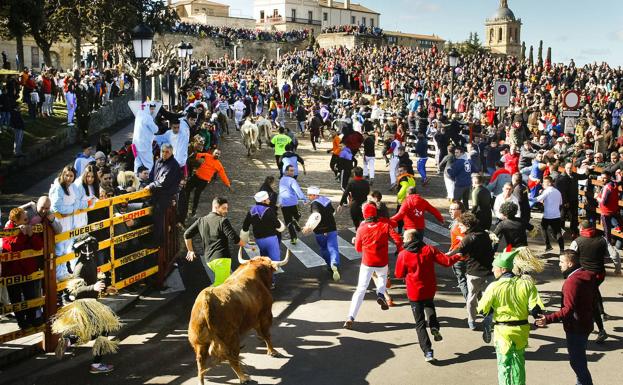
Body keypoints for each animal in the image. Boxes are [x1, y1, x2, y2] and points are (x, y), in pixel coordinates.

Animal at [188, 248, 290, 382]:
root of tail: (207, 299)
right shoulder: (265, 314)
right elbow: (266, 334)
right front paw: (272, 351)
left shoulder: (254, 317)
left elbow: (261, 332)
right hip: (231, 337)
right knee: (232, 358)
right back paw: (243, 377)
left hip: (199, 344)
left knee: (201, 365)